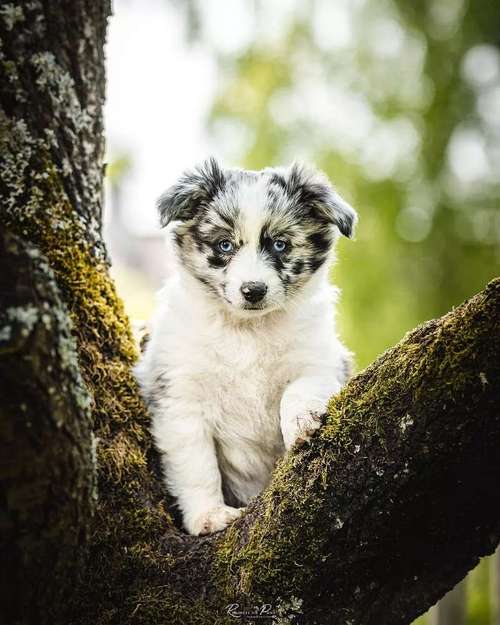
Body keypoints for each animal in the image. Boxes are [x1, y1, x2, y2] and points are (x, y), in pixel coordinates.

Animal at [135, 158, 358, 532]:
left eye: (280, 245)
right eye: (225, 246)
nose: (253, 290)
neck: (247, 330)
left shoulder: (321, 360)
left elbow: (299, 390)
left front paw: (302, 421)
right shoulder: (179, 395)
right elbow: (197, 464)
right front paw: (209, 515)